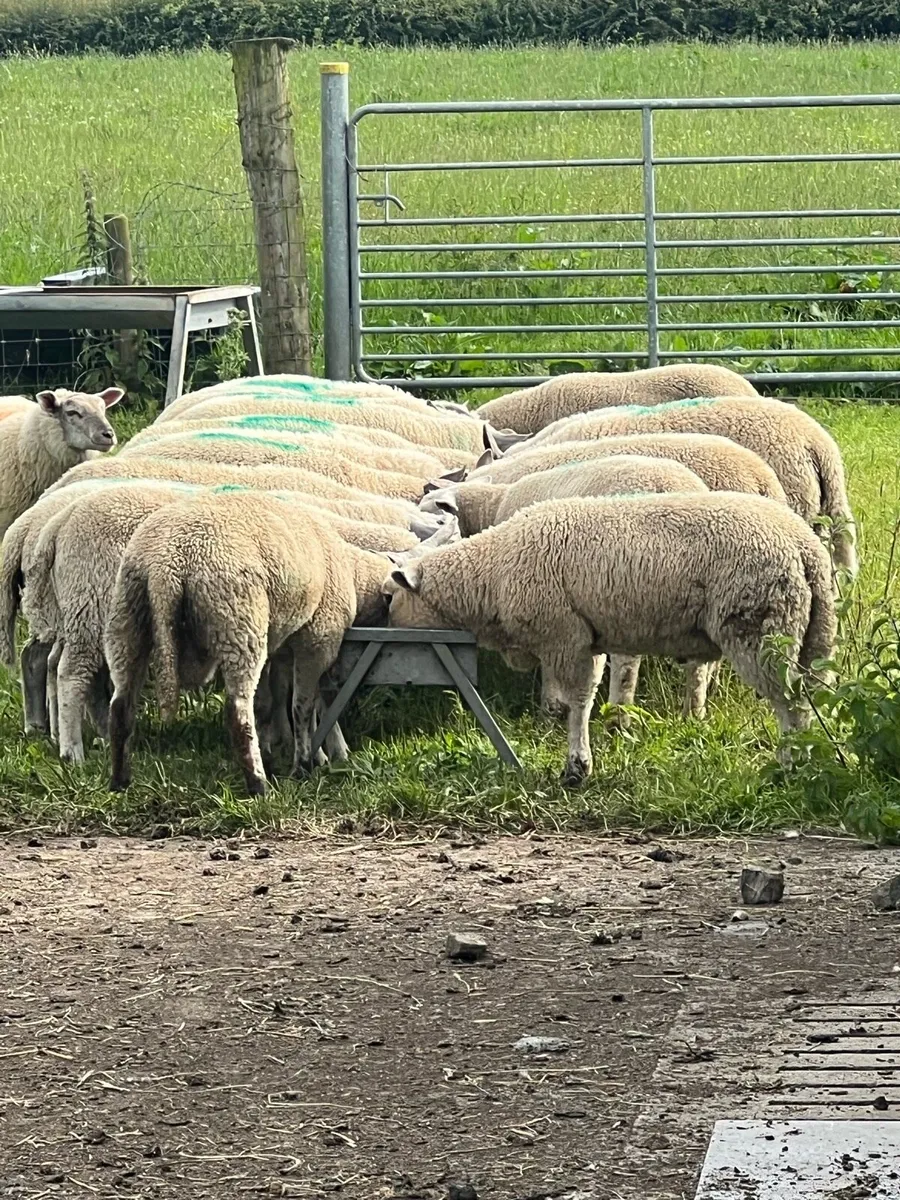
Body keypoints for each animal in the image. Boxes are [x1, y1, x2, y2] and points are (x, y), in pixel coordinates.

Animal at [104, 492, 395, 795]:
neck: (352, 573)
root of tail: (167, 562)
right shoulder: (318, 641)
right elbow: (302, 707)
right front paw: (304, 764)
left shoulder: (281, 650)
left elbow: (274, 702)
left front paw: (301, 752)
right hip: (239, 622)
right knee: (238, 712)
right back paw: (259, 784)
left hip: (127, 618)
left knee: (121, 706)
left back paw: (119, 782)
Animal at [385, 492, 837, 784]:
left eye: (390, 598)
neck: (489, 577)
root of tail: (804, 546)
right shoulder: (588, 637)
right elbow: (585, 697)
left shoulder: (565, 636)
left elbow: (578, 702)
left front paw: (576, 767)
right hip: (815, 634)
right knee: (811, 698)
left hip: (761, 629)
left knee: (791, 705)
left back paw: (790, 767)